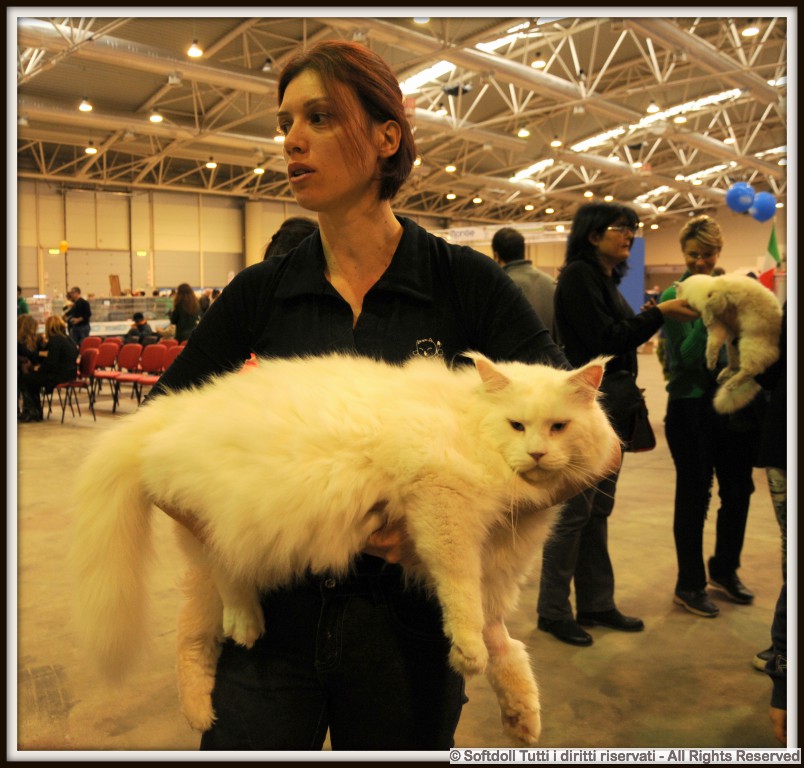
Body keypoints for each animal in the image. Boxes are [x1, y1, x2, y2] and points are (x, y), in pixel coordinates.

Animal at [70, 351, 621, 746]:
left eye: (558, 427)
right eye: (516, 426)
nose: (538, 454)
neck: (469, 424)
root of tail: (171, 413)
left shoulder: (503, 561)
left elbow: (505, 641)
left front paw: (521, 716)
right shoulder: (443, 507)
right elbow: (462, 595)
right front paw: (468, 654)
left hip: (217, 559)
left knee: (191, 633)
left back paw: (200, 711)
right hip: (226, 523)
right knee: (227, 581)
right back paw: (246, 626)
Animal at [676, 273, 782, 414]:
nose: (675, 298)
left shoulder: (719, 298)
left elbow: (708, 305)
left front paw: (706, 318)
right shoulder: (718, 326)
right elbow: (712, 347)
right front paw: (710, 363)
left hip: (749, 345)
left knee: (751, 370)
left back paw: (731, 384)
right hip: (731, 347)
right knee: (735, 367)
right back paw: (723, 376)